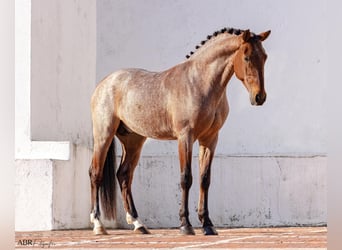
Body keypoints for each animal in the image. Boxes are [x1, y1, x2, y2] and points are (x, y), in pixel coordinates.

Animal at [89, 27, 272, 236]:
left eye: (264, 57)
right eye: (247, 57)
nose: (259, 97)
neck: (199, 82)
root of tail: (105, 83)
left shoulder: (210, 139)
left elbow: (204, 179)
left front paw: (207, 224)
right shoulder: (185, 137)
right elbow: (186, 178)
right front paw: (186, 224)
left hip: (134, 141)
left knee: (124, 175)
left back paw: (138, 223)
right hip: (103, 135)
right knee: (96, 174)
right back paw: (98, 224)